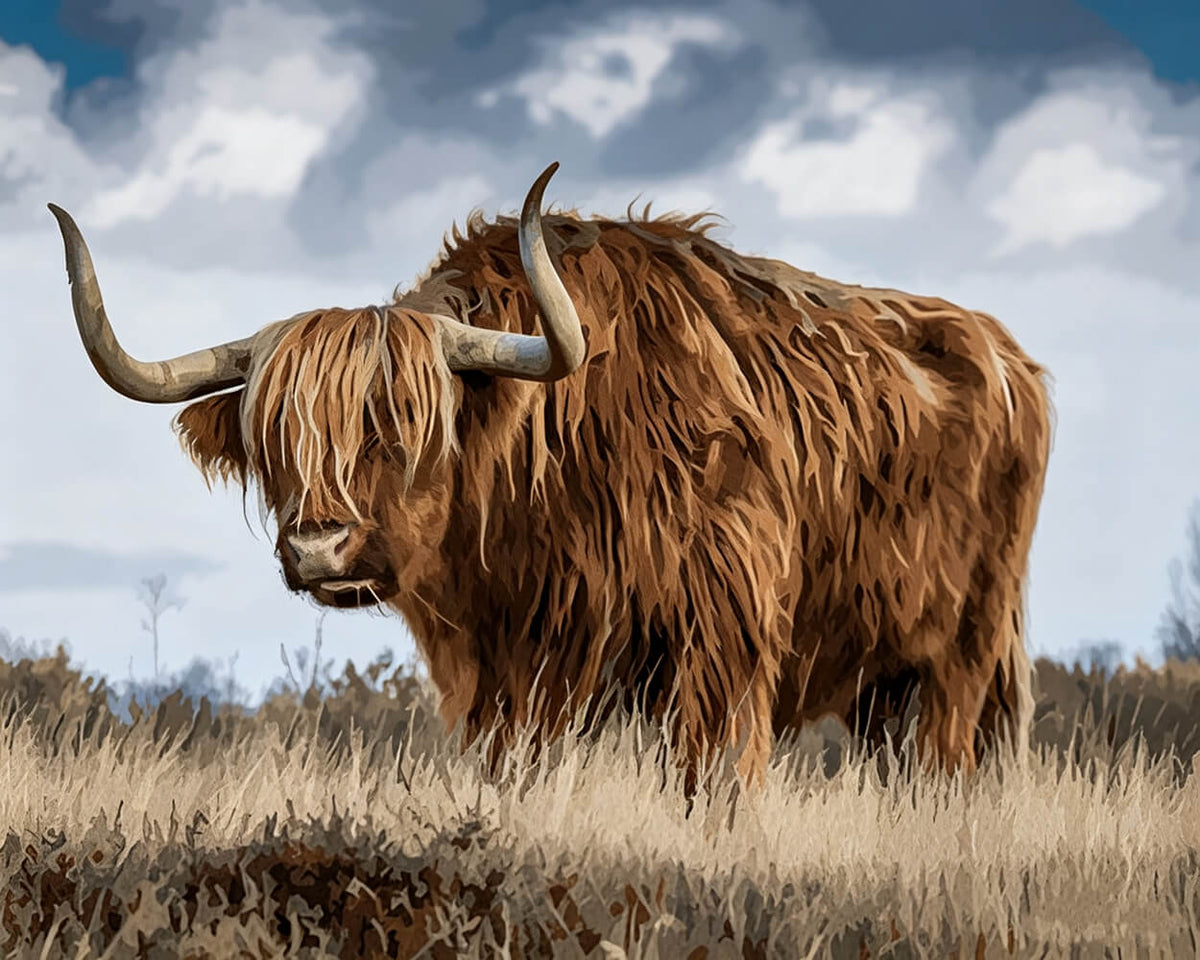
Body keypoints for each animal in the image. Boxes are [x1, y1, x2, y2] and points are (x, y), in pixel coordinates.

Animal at [48, 162, 1050, 791]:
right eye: (276, 442)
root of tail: (1006, 351)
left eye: (405, 425)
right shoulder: (508, 675)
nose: (318, 547)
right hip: (888, 678)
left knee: (944, 763)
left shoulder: (720, 641)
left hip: (961, 653)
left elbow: (711, 781)